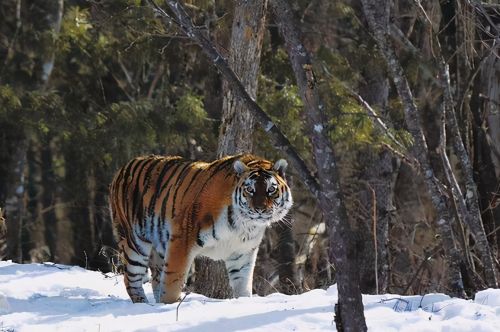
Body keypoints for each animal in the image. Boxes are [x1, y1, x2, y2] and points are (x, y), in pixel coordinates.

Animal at [107, 153, 292, 304]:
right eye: (250, 190)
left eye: (271, 190)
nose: (260, 209)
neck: (244, 225)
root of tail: (123, 167)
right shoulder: (181, 241)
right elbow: (173, 281)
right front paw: (170, 306)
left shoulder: (243, 253)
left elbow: (243, 285)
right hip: (134, 242)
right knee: (131, 279)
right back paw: (143, 305)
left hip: (158, 245)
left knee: (156, 278)